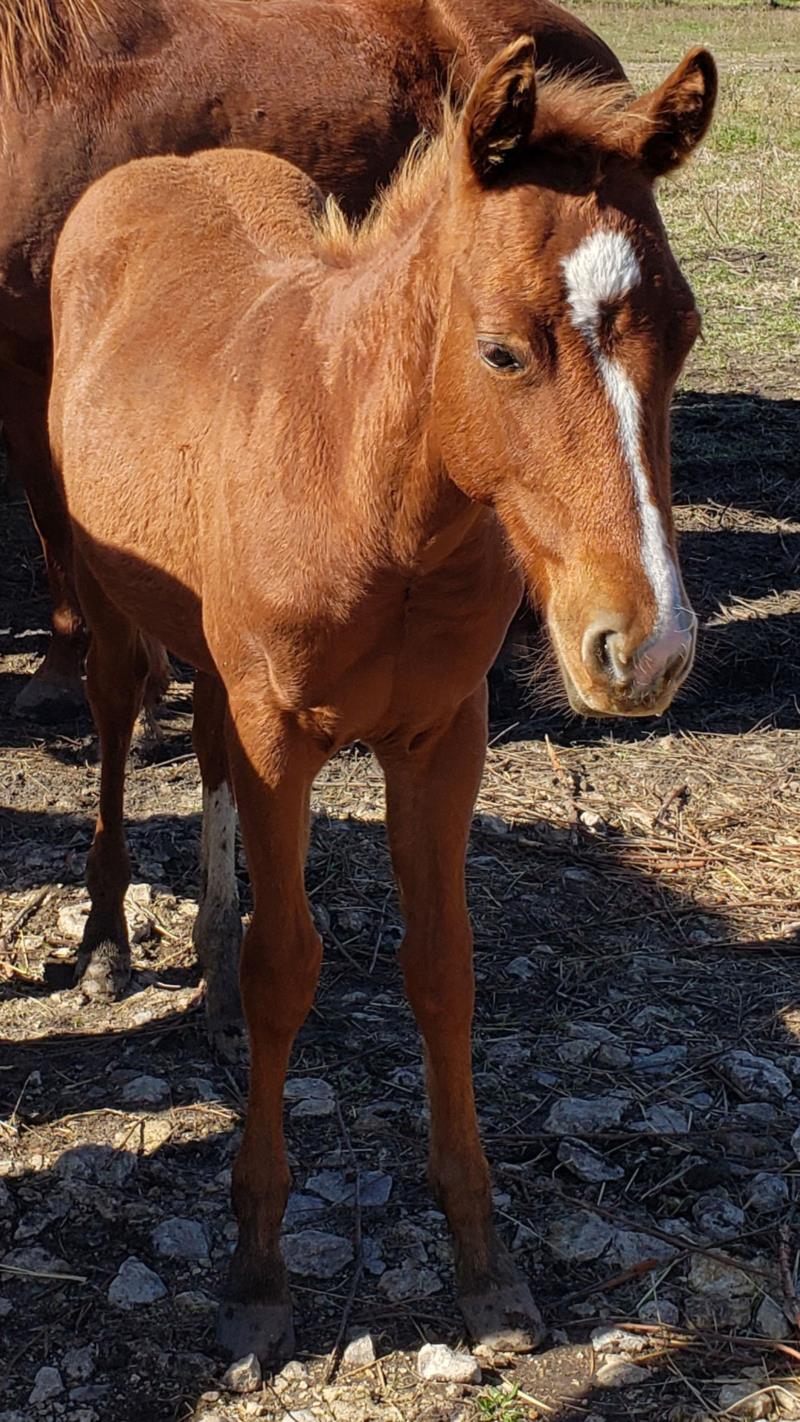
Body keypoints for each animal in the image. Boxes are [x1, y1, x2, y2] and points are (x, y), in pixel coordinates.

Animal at [48, 38, 713, 1359]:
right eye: (502, 350)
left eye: (682, 333)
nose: (647, 649)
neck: (369, 482)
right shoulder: (282, 740)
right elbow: (287, 968)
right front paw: (257, 1272)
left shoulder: (440, 740)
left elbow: (443, 969)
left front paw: (483, 1266)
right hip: (103, 594)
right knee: (116, 714)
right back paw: (105, 942)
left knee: (199, 749)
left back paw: (200, 969)